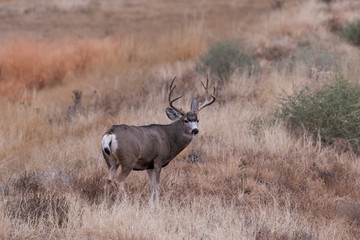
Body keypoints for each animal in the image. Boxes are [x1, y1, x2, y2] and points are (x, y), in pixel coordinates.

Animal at [100, 77, 215, 208]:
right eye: (185, 120)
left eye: (197, 120)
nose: (195, 130)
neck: (169, 138)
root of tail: (110, 133)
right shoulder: (158, 160)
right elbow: (157, 185)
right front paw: (158, 206)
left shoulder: (149, 164)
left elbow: (151, 185)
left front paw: (151, 205)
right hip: (128, 160)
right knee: (119, 180)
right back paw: (127, 202)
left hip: (111, 161)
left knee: (107, 179)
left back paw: (105, 203)